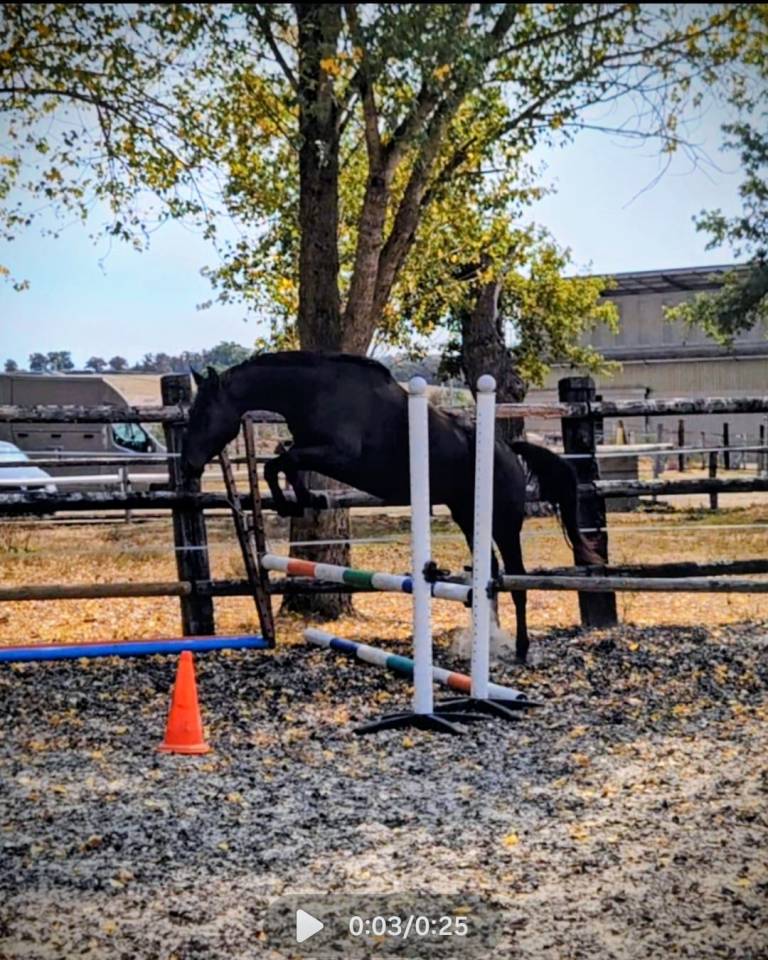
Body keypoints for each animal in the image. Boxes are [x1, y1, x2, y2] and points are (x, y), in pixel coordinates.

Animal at [181, 351, 598, 662]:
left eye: (203, 413)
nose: (188, 464)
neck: (314, 391)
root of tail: (509, 451)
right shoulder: (317, 452)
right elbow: (283, 459)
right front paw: (303, 501)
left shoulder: (338, 455)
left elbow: (281, 461)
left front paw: (295, 503)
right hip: (467, 517)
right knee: (491, 576)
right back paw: (488, 641)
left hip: (503, 523)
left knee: (515, 580)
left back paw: (522, 649)